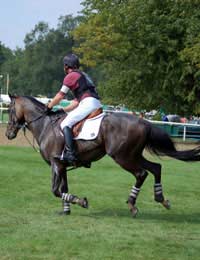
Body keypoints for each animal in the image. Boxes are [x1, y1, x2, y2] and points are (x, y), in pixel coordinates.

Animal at [5, 94, 200, 216]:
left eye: (10, 110)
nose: (8, 134)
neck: (45, 124)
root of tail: (144, 122)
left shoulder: (56, 164)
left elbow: (56, 190)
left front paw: (81, 202)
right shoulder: (63, 166)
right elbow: (64, 189)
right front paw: (66, 210)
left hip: (122, 157)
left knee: (141, 173)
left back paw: (132, 205)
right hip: (134, 155)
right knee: (156, 168)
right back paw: (161, 199)